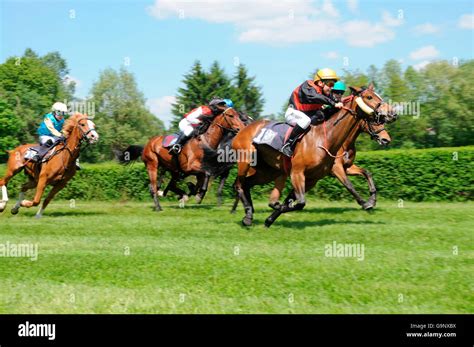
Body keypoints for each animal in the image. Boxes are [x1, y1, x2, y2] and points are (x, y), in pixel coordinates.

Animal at [118, 107, 246, 212]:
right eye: (231, 115)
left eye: (239, 115)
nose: (242, 129)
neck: (205, 141)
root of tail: (146, 146)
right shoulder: (189, 168)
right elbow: (206, 175)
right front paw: (196, 195)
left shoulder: (199, 170)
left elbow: (201, 181)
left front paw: (192, 192)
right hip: (152, 165)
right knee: (153, 187)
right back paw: (159, 207)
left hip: (170, 168)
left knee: (163, 185)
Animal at [231, 84, 398, 228]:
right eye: (369, 97)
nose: (393, 114)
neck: (325, 138)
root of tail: (245, 128)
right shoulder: (303, 172)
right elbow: (344, 186)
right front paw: (366, 203)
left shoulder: (316, 177)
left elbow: (367, 173)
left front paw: (270, 218)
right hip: (246, 161)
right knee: (239, 185)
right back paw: (247, 215)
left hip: (268, 171)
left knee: (247, 184)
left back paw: (249, 214)